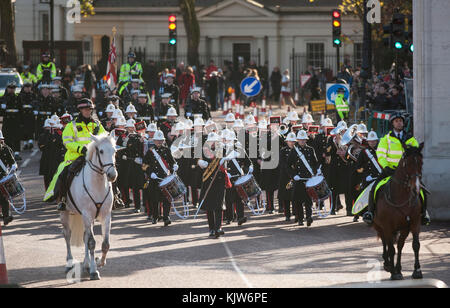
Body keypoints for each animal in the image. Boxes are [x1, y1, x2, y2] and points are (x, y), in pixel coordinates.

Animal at [59, 134, 118, 280]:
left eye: (115, 151)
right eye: (101, 151)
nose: (112, 175)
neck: (97, 184)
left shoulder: (106, 215)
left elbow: (105, 244)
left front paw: (99, 262)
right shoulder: (87, 214)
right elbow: (92, 243)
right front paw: (94, 271)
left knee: (85, 235)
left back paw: (86, 264)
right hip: (65, 212)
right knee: (67, 235)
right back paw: (69, 263)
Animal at [372, 143, 426, 280]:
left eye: (421, 162)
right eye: (407, 163)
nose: (416, 188)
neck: (402, 197)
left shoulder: (414, 223)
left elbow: (414, 245)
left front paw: (416, 270)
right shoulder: (387, 225)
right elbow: (391, 249)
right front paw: (394, 273)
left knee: (398, 244)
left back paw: (397, 267)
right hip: (379, 226)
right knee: (385, 241)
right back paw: (388, 264)